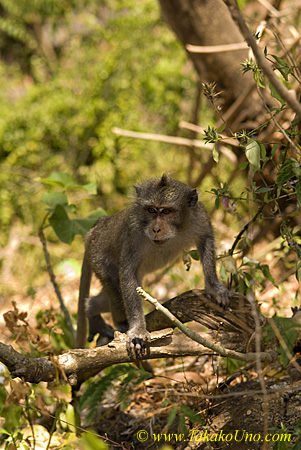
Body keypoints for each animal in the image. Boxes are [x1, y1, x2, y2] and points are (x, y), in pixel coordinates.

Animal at [76, 174, 229, 356]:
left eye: (166, 211)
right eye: (151, 210)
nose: (156, 229)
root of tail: (95, 229)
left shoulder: (200, 217)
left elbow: (206, 238)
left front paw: (214, 286)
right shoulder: (133, 232)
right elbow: (127, 274)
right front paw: (137, 331)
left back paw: (91, 307)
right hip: (99, 257)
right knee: (115, 287)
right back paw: (110, 318)